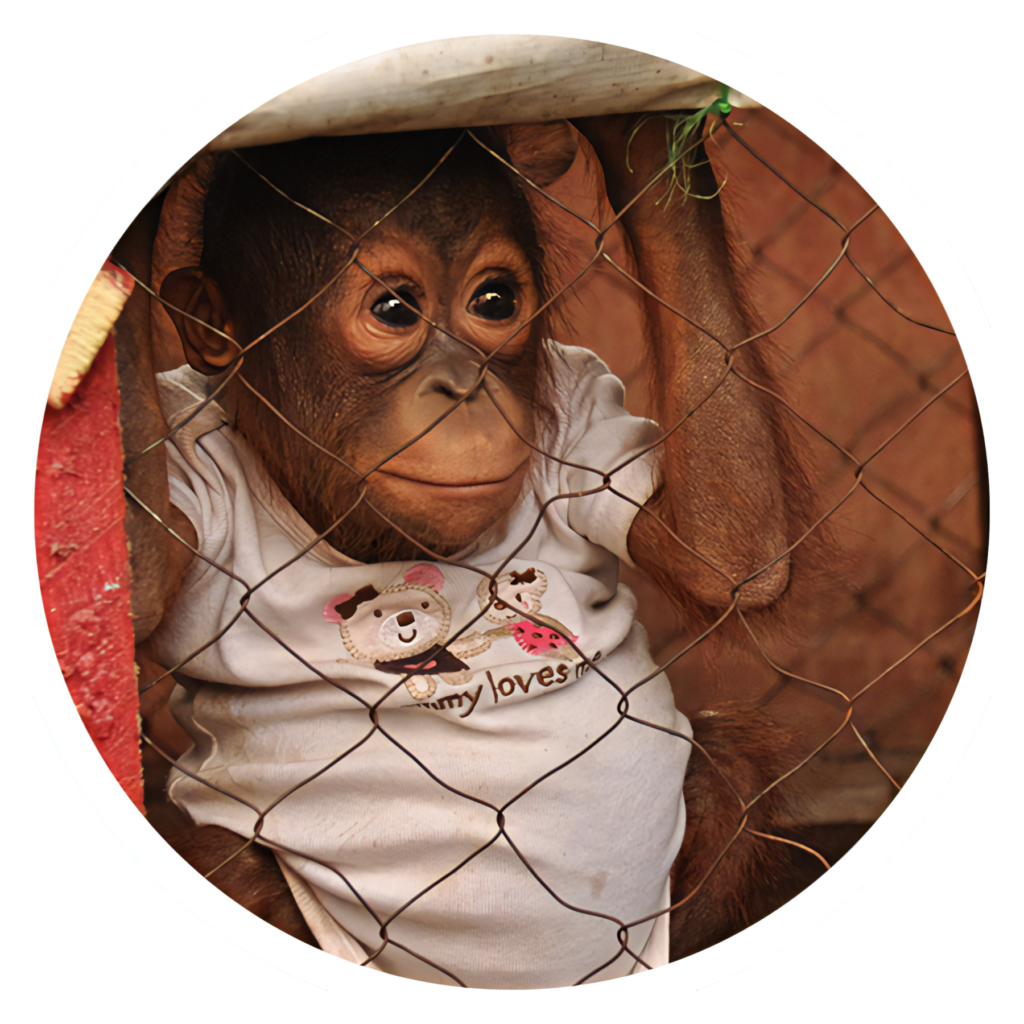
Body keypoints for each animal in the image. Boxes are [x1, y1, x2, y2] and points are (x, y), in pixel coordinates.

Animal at [111, 113, 820, 987]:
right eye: (394, 310)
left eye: (494, 302)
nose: (465, 388)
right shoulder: (194, 459)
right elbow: (136, 574)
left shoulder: (578, 402)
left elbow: (728, 560)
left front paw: (647, 138)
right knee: (222, 861)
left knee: (730, 767)